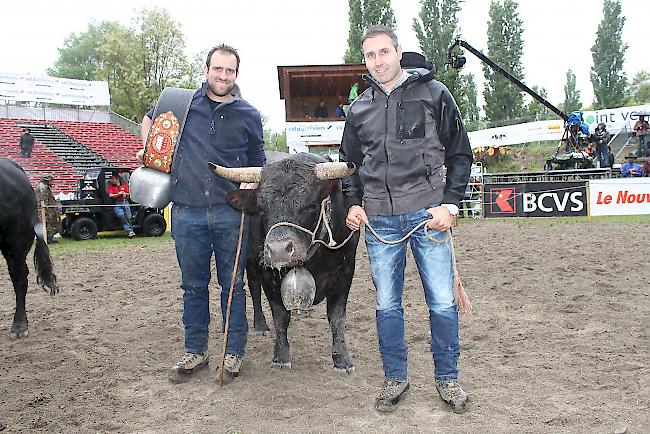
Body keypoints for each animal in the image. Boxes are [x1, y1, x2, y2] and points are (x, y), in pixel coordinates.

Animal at [211, 153, 360, 372]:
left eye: (311, 204)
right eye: (262, 208)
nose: (279, 250)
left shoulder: (346, 271)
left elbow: (337, 317)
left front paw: (342, 359)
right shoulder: (268, 274)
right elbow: (280, 315)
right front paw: (281, 356)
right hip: (251, 261)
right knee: (253, 288)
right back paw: (260, 325)